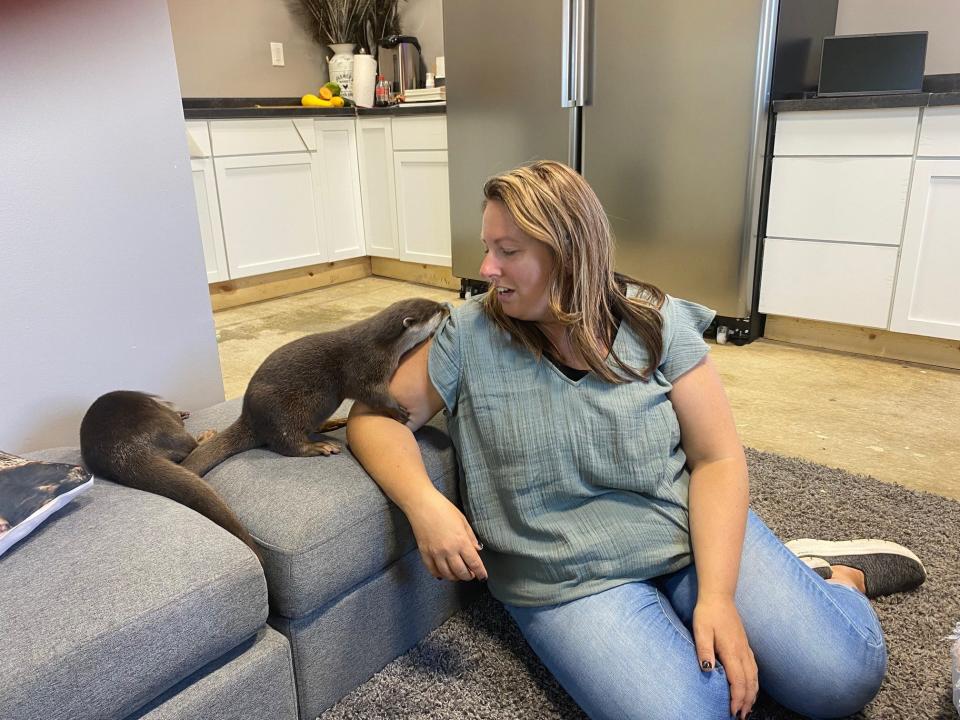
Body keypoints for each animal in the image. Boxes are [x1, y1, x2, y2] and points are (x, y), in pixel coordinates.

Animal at [181, 298, 450, 478]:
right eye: (435, 311)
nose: (447, 306)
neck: (383, 346)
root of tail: (248, 416)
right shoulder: (364, 367)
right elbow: (373, 394)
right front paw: (398, 410)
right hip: (280, 415)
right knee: (286, 444)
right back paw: (318, 446)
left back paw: (333, 423)